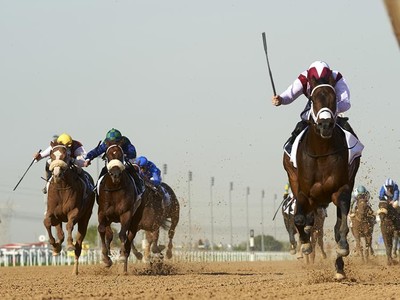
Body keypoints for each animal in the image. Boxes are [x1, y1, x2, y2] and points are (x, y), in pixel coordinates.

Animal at [45, 143, 95, 274]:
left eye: (66, 155)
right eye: (51, 155)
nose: (57, 174)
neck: (62, 187)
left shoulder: (74, 211)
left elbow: (69, 225)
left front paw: (69, 245)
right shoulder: (52, 212)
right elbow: (47, 222)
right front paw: (55, 246)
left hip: (85, 218)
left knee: (79, 244)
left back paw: (75, 270)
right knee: (60, 233)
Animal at [97, 144, 144, 274]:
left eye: (121, 155)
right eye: (108, 155)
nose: (115, 174)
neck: (115, 188)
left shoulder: (126, 213)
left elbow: (123, 234)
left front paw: (122, 256)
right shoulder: (102, 212)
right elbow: (102, 230)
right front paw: (106, 259)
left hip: (136, 218)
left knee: (130, 236)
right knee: (109, 233)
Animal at [282, 77, 360, 278]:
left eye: (334, 97)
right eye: (312, 98)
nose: (325, 125)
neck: (322, 153)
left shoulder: (341, 189)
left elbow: (340, 228)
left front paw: (342, 249)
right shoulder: (304, 193)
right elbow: (299, 219)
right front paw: (305, 245)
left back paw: (339, 268)